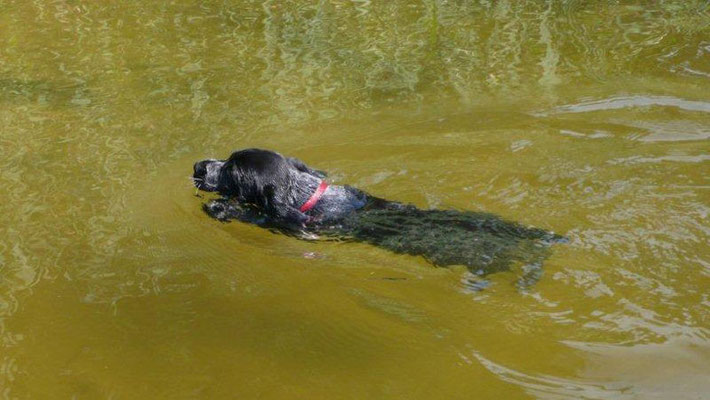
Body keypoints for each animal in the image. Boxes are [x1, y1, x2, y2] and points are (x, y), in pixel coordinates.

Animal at [193, 149, 568, 284]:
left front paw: (220, 208)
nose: (198, 165)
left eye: (232, 170)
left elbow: (259, 216)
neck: (310, 194)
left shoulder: (299, 226)